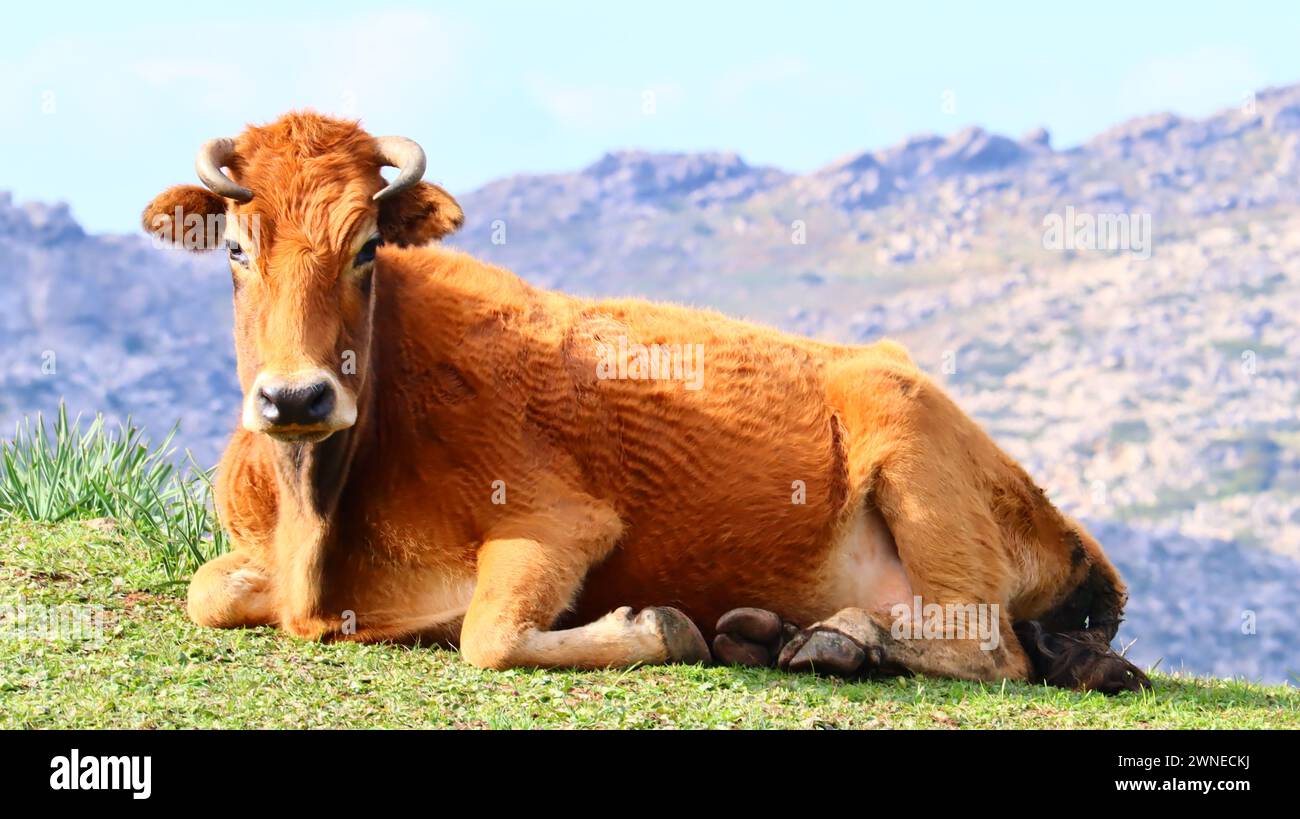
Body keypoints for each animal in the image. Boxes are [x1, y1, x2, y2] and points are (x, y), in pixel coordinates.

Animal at [142, 111, 1149, 693]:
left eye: (365, 248)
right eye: (236, 247)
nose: (295, 395)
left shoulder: (561, 520)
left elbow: (489, 635)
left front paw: (654, 623)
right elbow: (208, 589)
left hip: (912, 443)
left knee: (986, 647)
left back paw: (827, 639)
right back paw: (778, 633)